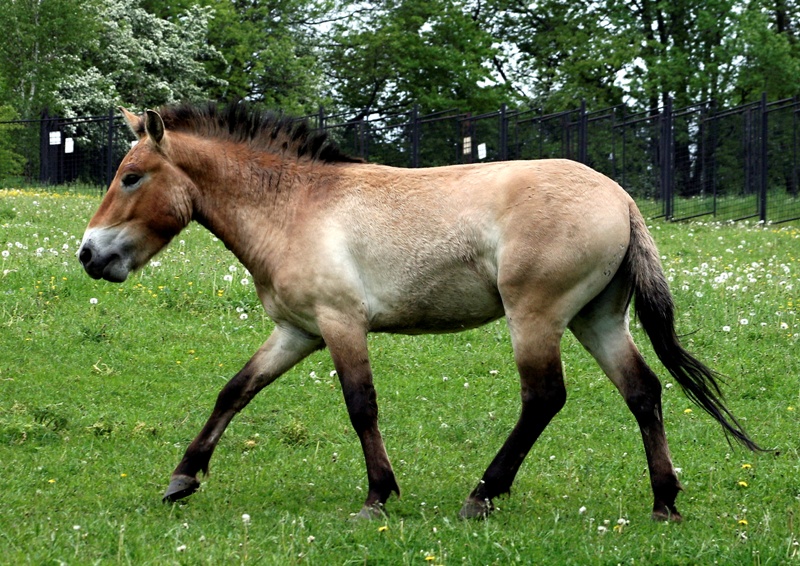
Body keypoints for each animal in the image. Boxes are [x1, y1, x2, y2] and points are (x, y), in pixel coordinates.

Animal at [78, 103, 760, 524]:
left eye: (131, 177)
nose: (89, 254)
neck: (295, 206)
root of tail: (622, 199)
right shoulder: (297, 331)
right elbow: (234, 391)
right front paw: (183, 478)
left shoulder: (341, 325)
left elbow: (361, 407)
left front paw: (378, 496)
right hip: (596, 319)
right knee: (643, 391)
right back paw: (664, 501)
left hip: (535, 317)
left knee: (544, 398)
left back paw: (484, 494)